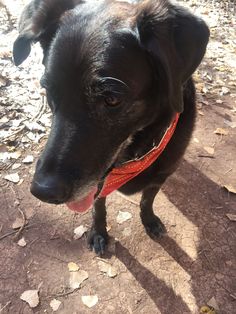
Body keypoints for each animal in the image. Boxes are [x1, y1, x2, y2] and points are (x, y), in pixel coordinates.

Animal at [13, 0, 208, 255]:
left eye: (112, 99)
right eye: (49, 91)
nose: (42, 191)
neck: (134, 155)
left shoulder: (160, 176)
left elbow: (147, 199)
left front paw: (149, 220)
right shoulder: (98, 186)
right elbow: (99, 207)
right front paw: (98, 233)